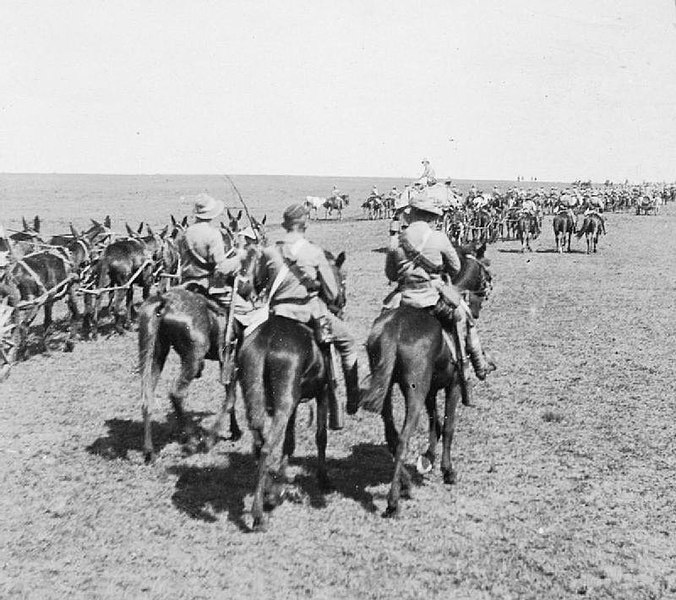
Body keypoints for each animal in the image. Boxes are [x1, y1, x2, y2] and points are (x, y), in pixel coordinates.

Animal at [239, 251, 348, 532]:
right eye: (341, 278)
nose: (341, 302)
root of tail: (266, 341)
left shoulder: (294, 401)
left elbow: (289, 441)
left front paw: (278, 482)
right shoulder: (321, 393)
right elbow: (321, 436)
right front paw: (324, 479)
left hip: (260, 399)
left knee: (259, 442)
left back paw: (267, 493)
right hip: (285, 403)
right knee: (267, 447)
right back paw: (258, 513)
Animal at [360, 241, 492, 516]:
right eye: (486, 271)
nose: (483, 296)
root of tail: (395, 329)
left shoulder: (431, 389)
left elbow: (435, 423)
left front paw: (428, 457)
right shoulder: (452, 386)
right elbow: (448, 426)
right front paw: (448, 470)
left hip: (388, 390)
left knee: (392, 436)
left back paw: (406, 485)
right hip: (415, 391)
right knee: (403, 438)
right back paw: (393, 501)